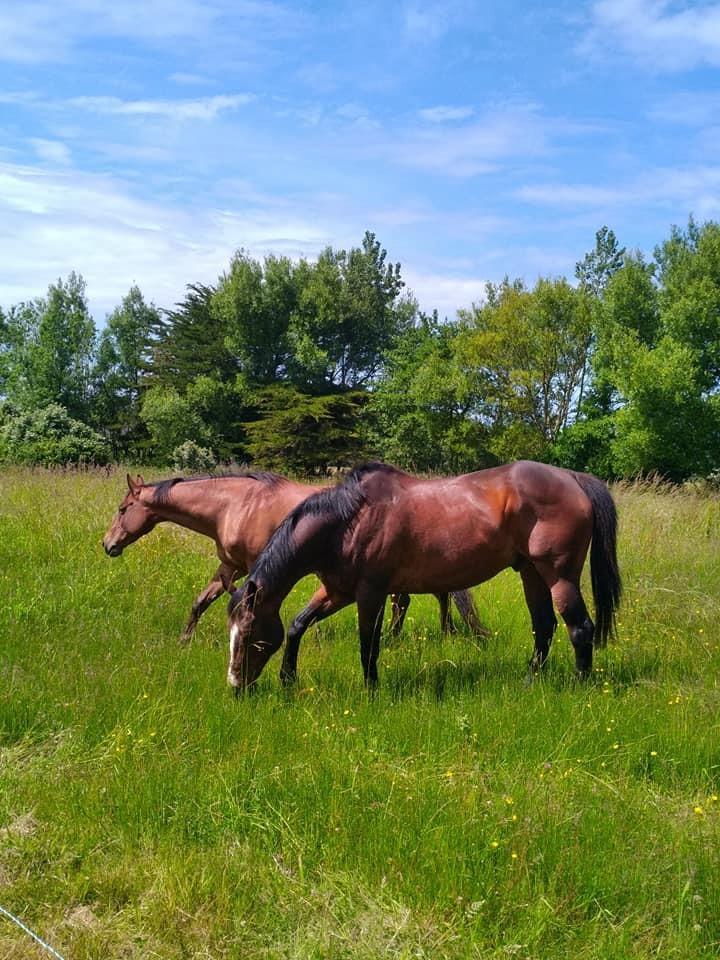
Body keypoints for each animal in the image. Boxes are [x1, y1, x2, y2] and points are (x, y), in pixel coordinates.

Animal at [101, 472, 484, 676]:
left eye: (122, 509)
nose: (108, 544)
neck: (234, 504)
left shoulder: (255, 568)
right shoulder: (230, 566)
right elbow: (200, 602)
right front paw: (184, 641)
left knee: (406, 600)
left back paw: (400, 637)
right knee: (429, 597)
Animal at [228, 460, 620, 688]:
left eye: (248, 635)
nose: (235, 687)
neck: (347, 522)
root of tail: (573, 478)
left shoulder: (370, 593)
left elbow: (368, 644)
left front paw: (371, 689)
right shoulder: (337, 592)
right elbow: (297, 624)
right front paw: (288, 679)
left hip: (559, 576)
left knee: (579, 627)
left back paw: (579, 685)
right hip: (532, 573)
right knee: (545, 626)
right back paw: (528, 680)